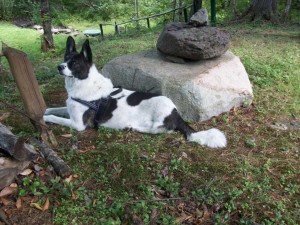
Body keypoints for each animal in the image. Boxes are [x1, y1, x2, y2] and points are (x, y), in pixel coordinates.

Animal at [43, 36, 226, 149]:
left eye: (74, 62)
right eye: (65, 58)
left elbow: (55, 117)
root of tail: (176, 113)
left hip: (159, 116)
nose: (59, 67)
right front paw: (45, 110)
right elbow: (54, 108)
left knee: (161, 129)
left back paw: (136, 128)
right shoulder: (69, 109)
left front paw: (44, 118)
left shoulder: (77, 124)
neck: (82, 82)